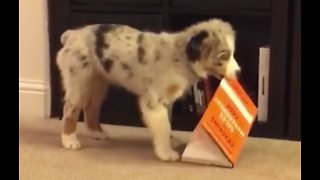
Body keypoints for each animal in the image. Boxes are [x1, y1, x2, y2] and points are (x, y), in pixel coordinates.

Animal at [55, 18, 240, 162]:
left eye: (233, 53)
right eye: (224, 55)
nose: (239, 72)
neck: (180, 57)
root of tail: (72, 34)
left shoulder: (167, 100)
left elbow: (168, 123)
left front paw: (171, 142)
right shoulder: (154, 101)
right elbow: (163, 127)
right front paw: (166, 153)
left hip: (99, 83)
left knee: (91, 107)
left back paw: (96, 133)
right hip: (78, 82)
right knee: (70, 110)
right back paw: (69, 140)